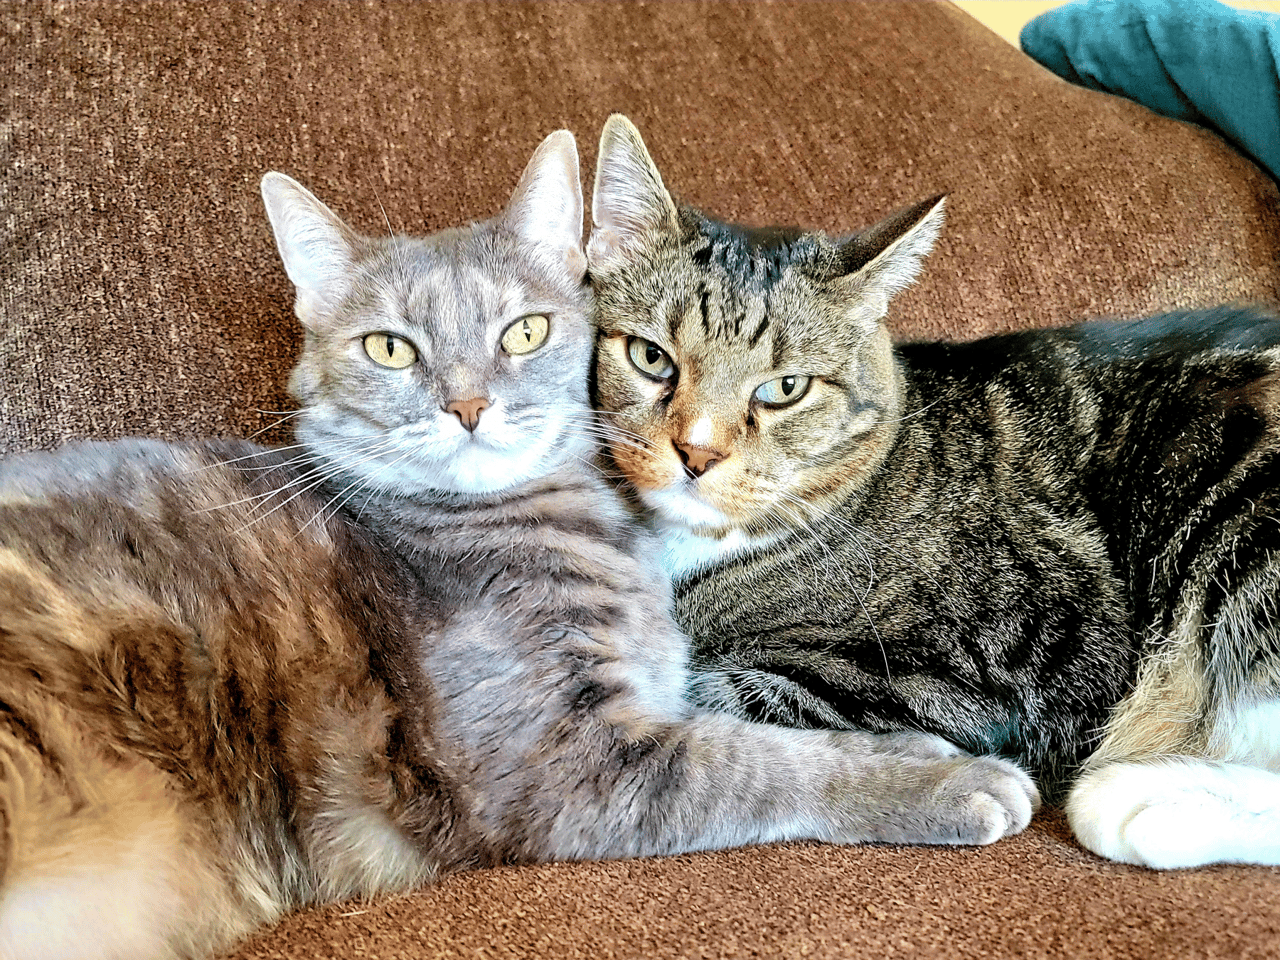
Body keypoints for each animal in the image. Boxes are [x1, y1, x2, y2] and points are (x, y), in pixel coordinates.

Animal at [0, 129, 1039, 960]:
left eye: (526, 330)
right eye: (390, 348)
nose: (467, 404)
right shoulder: (571, 767)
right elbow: (759, 758)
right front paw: (943, 777)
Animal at [586, 114, 1280, 870]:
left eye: (785, 388)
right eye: (651, 357)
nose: (697, 452)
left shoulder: (1008, 658)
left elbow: (713, 694)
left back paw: (1140, 801)